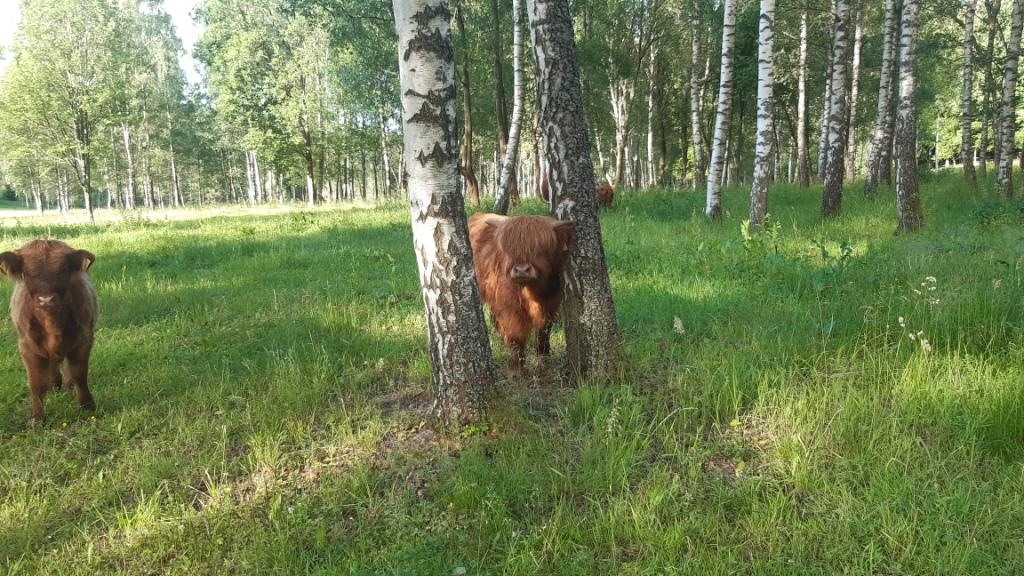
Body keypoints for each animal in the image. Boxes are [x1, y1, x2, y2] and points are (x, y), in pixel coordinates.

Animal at [1, 238, 97, 422]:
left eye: (63, 270)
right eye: (27, 273)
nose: (46, 300)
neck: (51, 323)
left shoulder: (84, 339)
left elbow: (79, 374)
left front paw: (87, 405)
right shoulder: (27, 347)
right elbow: (35, 382)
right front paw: (37, 417)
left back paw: (66, 384)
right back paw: (55, 384)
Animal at [468, 213, 573, 368]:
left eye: (540, 249)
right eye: (509, 250)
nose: (521, 270)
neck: (532, 294)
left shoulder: (551, 305)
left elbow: (543, 334)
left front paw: (543, 361)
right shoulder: (509, 308)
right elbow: (515, 340)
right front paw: (515, 368)